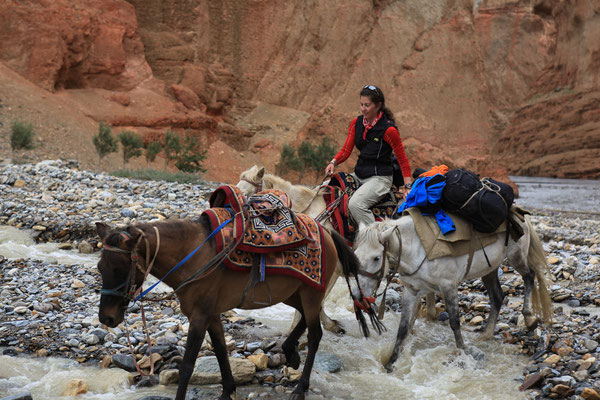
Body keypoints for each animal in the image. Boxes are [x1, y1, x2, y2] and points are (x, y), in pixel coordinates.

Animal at [94, 216, 360, 400]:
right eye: (100, 267)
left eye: (120, 268)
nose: (107, 318)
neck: (194, 257)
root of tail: (326, 231)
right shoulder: (211, 315)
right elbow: (221, 351)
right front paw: (228, 390)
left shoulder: (200, 317)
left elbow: (187, 366)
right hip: (295, 294)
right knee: (304, 317)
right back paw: (290, 352)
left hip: (311, 293)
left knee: (315, 335)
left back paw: (300, 387)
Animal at [352, 211, 552, 370]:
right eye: (354, 255)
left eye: (377, 258)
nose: (356, 294)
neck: (417, 247)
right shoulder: (412, 290)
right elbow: (403, 328)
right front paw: (391, 363)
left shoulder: (448, 286)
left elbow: (455, 322)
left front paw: (463, 352)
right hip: (489, 269)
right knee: (497, 296)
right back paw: (486, 334)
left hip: (516, 257)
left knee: (529, 276)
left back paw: (529, 318)